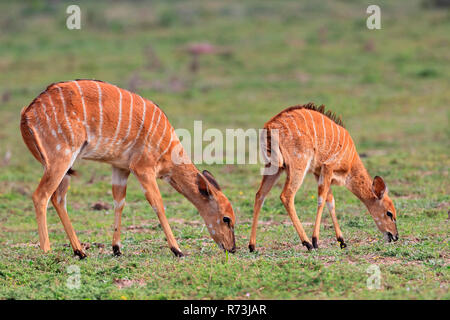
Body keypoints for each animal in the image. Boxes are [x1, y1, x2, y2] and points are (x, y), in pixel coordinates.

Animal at [20, 79, 239, 258]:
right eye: (226, 218)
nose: (232, 248)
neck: (168, 147)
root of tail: (26, 114)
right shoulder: (143, 168)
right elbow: (158, 204)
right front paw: (177, 249)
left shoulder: (120, 168)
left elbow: (119, 202)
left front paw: (116, 249)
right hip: (61, 158)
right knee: (41, 195)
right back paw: (47, 250)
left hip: (62, 166)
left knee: (58, 198)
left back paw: (80, 251)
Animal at [248, 104, 400, 251]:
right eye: (389, 213)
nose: (395, 236)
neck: (351, 161)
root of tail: (269, 127)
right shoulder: (328, 167)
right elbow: (322, 200)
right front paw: (316, 241)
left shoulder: (318, 172)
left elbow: (330, 201)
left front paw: (342, 241)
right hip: (298, 166)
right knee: (286, 195)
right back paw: (307, 243)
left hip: (274, 167)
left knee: (260, 195)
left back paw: (252, 246)